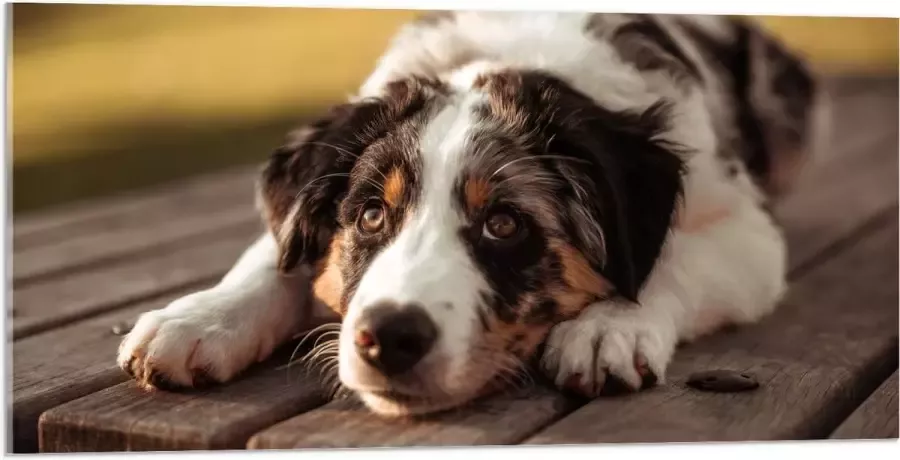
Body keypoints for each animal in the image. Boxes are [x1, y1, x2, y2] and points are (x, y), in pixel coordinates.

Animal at [116, 11, 828, 416]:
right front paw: (198, 319)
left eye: (504, 224)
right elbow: (275, 253)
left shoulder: (748, 230)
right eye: (370, 216)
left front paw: (610, 327)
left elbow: (670, 258)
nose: (388, 338)